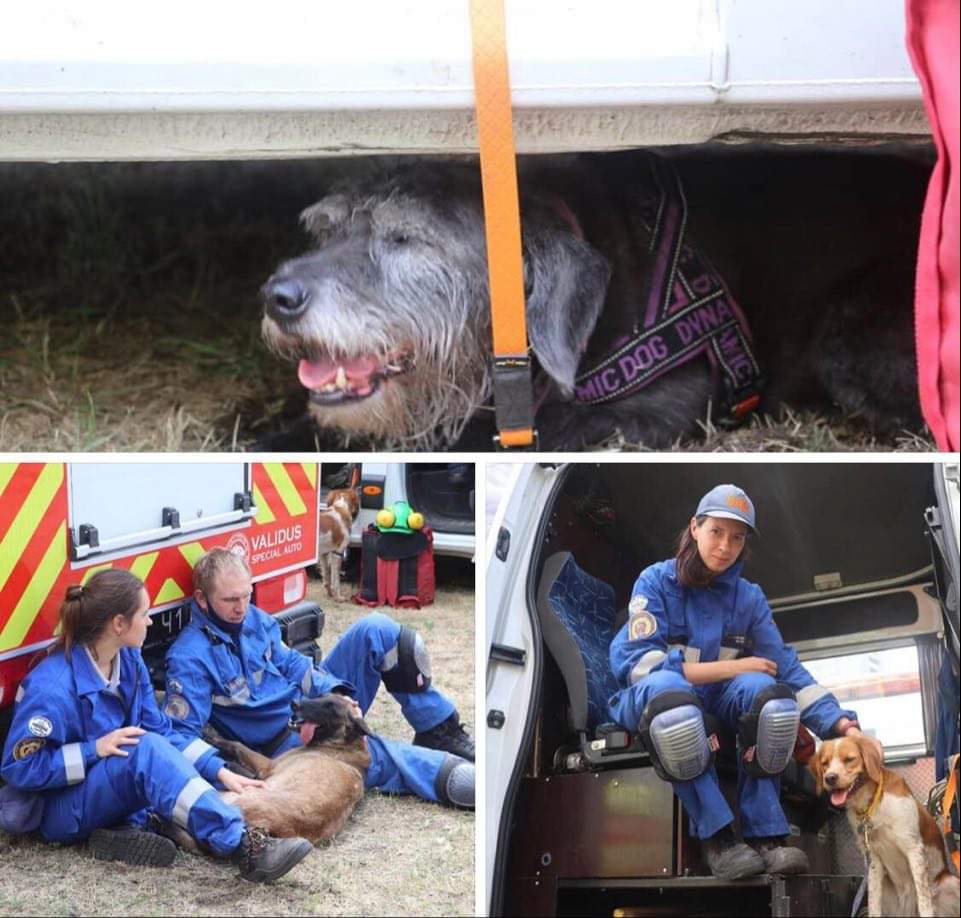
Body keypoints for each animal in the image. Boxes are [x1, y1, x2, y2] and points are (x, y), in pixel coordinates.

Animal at [808, 740, 960, 918]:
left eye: (849, 759)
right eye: (825, 763)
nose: (830, 778)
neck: (872, 804)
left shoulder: (913, 848)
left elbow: (924, 900)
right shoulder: (873, 859)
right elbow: (873, 903)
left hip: (951, 882)